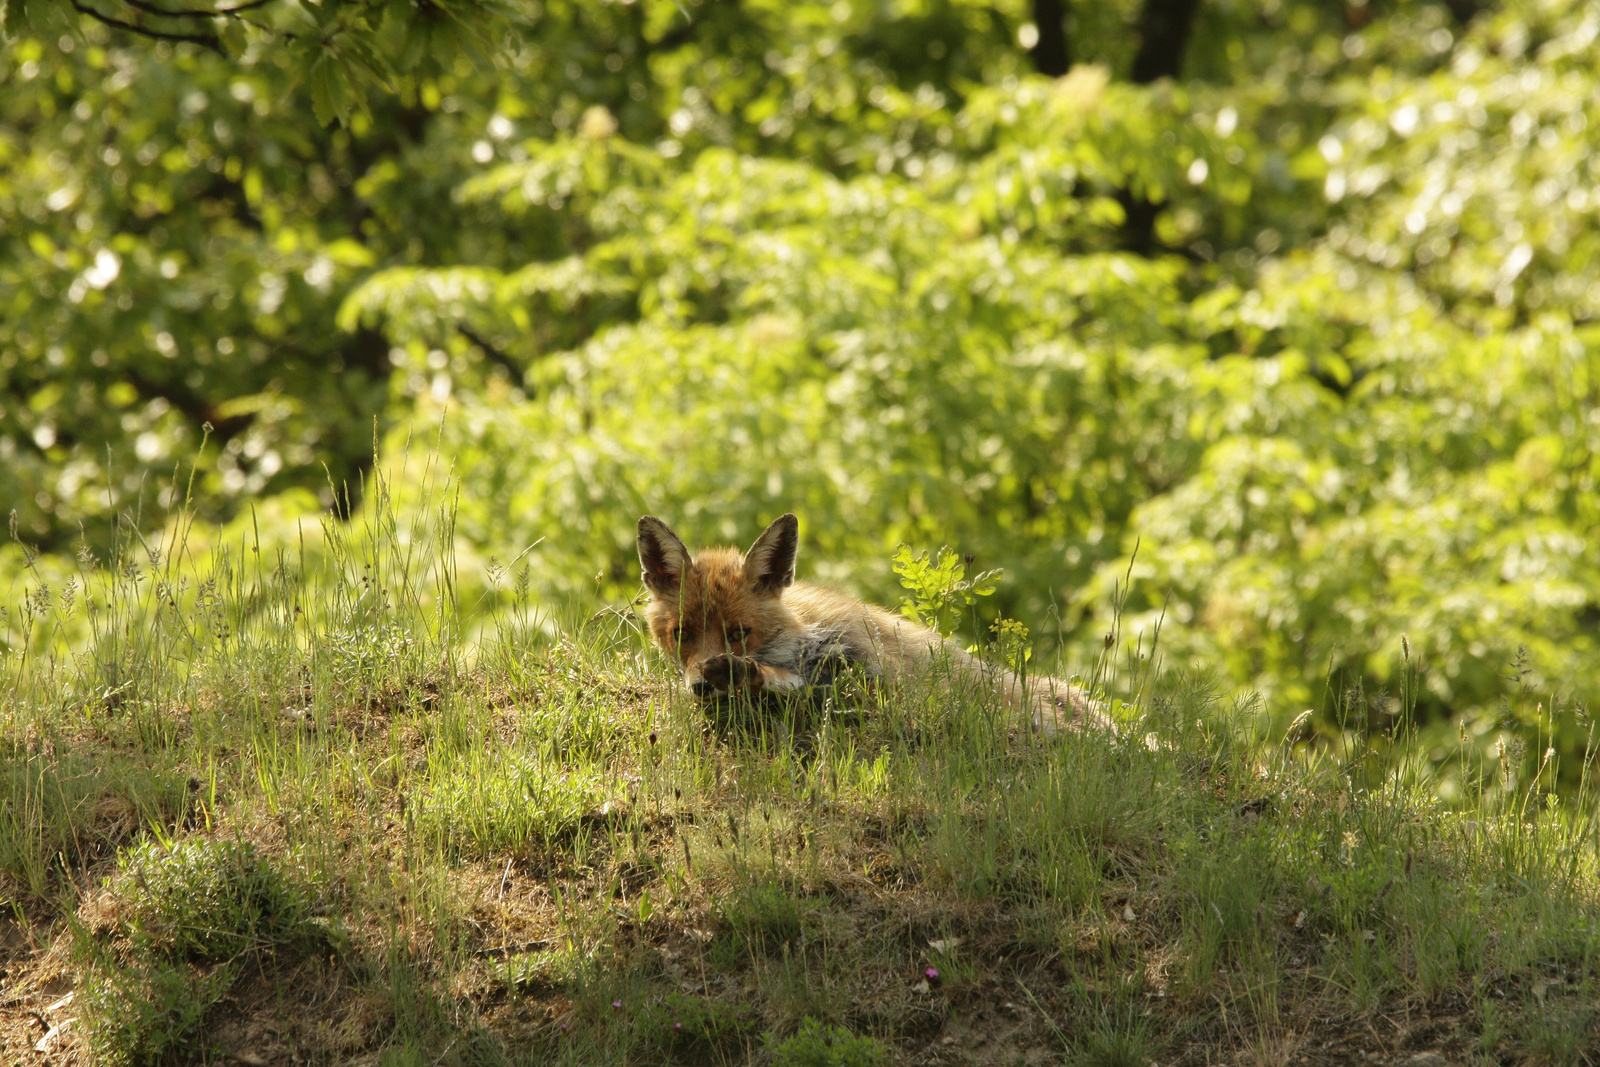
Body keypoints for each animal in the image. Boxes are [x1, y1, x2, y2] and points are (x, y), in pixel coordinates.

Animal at [636, 515, 1113, 735]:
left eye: (739, 633)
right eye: (680, 635)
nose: (700, 686)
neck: (803, 641)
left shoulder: (880, 676)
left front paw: (741, 673)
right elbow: (790, 683)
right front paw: (743, 676)